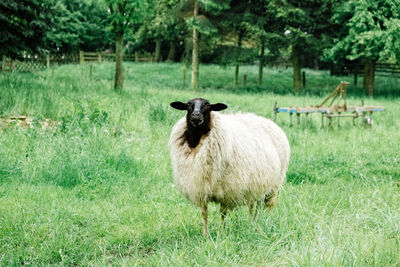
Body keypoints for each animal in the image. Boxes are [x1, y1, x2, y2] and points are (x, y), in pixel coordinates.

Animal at [169, 98, 290, 237]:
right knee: (252, 205)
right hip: (255, 184)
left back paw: (253, 224)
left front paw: (222, 232)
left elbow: (223, 213)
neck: (197, 140)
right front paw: (205, 234)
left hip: (269, 186)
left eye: (208, 106)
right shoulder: (201, 188)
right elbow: (204, 213)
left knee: (257, 207)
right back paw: (251, 223)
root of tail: (268, 121)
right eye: (188, 105)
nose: (196, 116)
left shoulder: (227, 189)